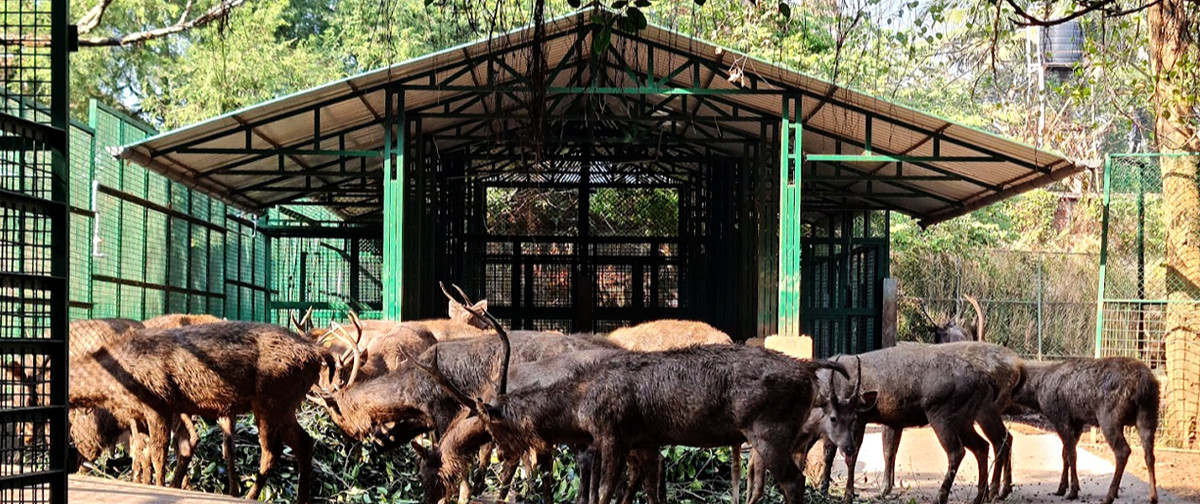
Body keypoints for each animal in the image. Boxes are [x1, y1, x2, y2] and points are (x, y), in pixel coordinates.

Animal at [1012, 355, 1161, 504]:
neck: (1036, 395)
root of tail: (1144, 384)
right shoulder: (1078, 422)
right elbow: (1065, 453)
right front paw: (1061, 488)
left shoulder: (1061, 418)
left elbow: (1071, 454)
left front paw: (1073, 491)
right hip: (1148, 415)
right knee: (1149, 455)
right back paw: (1153, 496)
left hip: (1108, 417)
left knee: (1123, 451)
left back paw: (1109, 496)